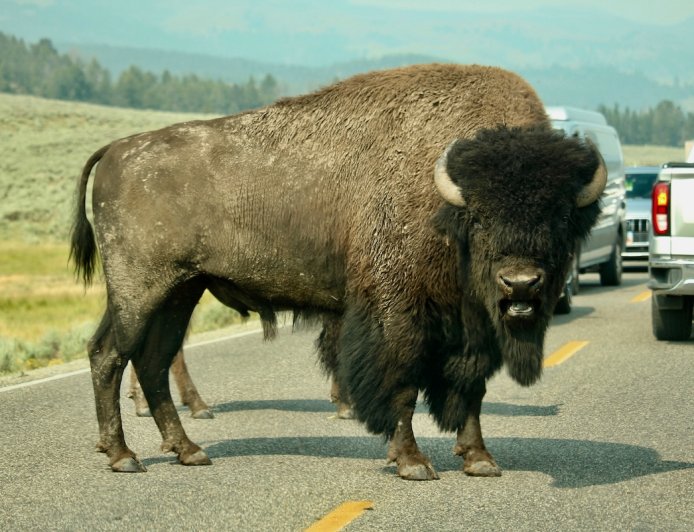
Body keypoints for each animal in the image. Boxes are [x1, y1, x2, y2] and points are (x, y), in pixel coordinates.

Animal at [71, 64, 605, 480]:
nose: (521, 283)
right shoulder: (396, 313)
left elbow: (470, 390)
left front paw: (479, 460)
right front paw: (412, 463)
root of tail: (117, 150)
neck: (444, 203)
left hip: (180, 292)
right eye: (480, 216)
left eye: (560, 217)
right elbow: (401, 384)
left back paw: (188, 451)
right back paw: (124, 456)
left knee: (153, 361)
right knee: (109, 355)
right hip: (140, 290)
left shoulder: (471, 331)